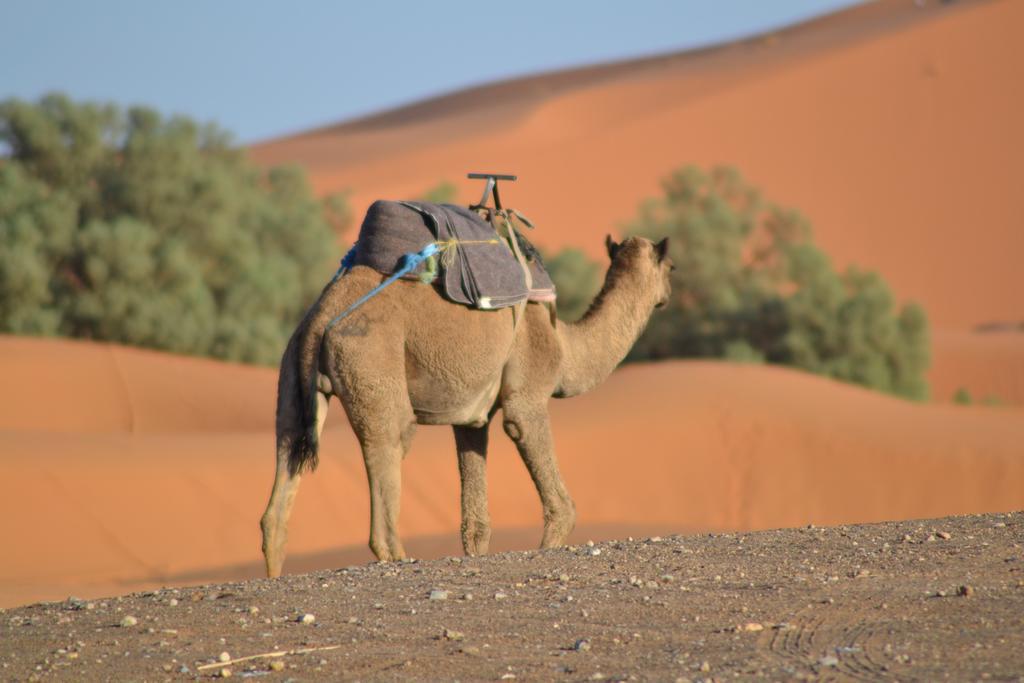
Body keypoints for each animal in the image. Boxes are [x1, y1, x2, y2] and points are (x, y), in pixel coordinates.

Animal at [260, 232, 671, 573]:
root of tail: (321, 318)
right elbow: (561, 507)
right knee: (387, 462)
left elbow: (475, 522)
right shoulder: (528, 395)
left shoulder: (472, 418)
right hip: (371, 364)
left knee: (279, 494)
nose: (668, 294)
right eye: (671, 266)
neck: (565, 346)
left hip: (291, 380)